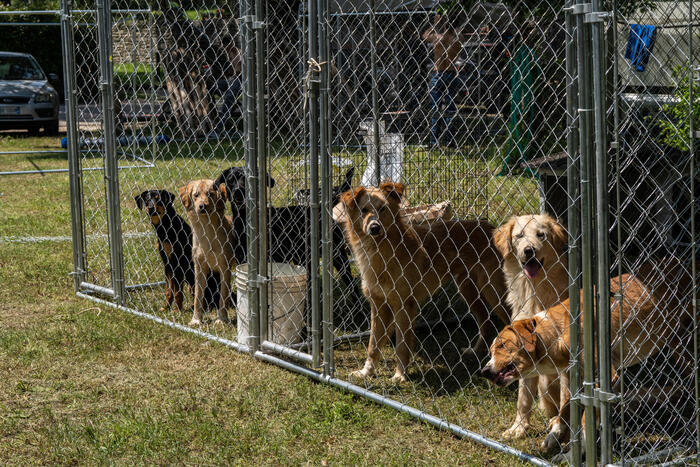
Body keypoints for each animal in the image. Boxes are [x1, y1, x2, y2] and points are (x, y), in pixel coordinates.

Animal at [178, 181, 238, 328]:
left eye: (210, 194)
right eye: (196, 195)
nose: (202, 206)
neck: (207, 231)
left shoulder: (224, 268)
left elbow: (223, 297)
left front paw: (221, 319)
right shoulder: (199, 267)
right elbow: (198, 297)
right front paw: (196, 319)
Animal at [334, 183, 508, 384]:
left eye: (383, 208)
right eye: (364, 210)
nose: (374, 227)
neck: (380, 251)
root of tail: (491, 227)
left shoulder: (404, 306)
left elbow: (401, 345)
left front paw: (400, 375)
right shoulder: (378, 305)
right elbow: (373, 345)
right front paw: (366, 372)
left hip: (494, 291)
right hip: (468, 289)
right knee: (485, 320)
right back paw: (476, 351)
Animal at [482, 262, 696, 452]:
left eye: (502, 345)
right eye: (491, 351)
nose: (484, 371)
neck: (559, 332)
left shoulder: (605, 377)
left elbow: (586, 419)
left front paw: (574, 452)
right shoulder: (574, 378)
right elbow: (566, 408)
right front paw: (554, 435)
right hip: (678, 345)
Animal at [492, 214, 568, 440]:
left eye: (541, 235)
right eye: (519, 236)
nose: (529, 250)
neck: (534, 291)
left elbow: (567, 398)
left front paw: (560, 428)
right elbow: (523, 399)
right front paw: (518, 428)